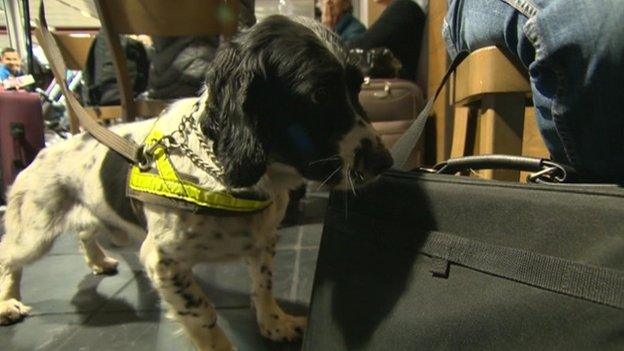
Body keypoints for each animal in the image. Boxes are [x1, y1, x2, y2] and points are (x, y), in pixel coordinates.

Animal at [0, 15, 392, 350]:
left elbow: (263, 286)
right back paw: (8, 303)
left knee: (84, 232)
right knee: (9, 254)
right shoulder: (162, 260)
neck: (229, 178)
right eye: (319, 95)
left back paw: (99, 260)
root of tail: (47, 148)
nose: (385, 162)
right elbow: (202, 313)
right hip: (35, 233)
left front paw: (275, 324)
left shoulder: (263, 241)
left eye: (359, 86)